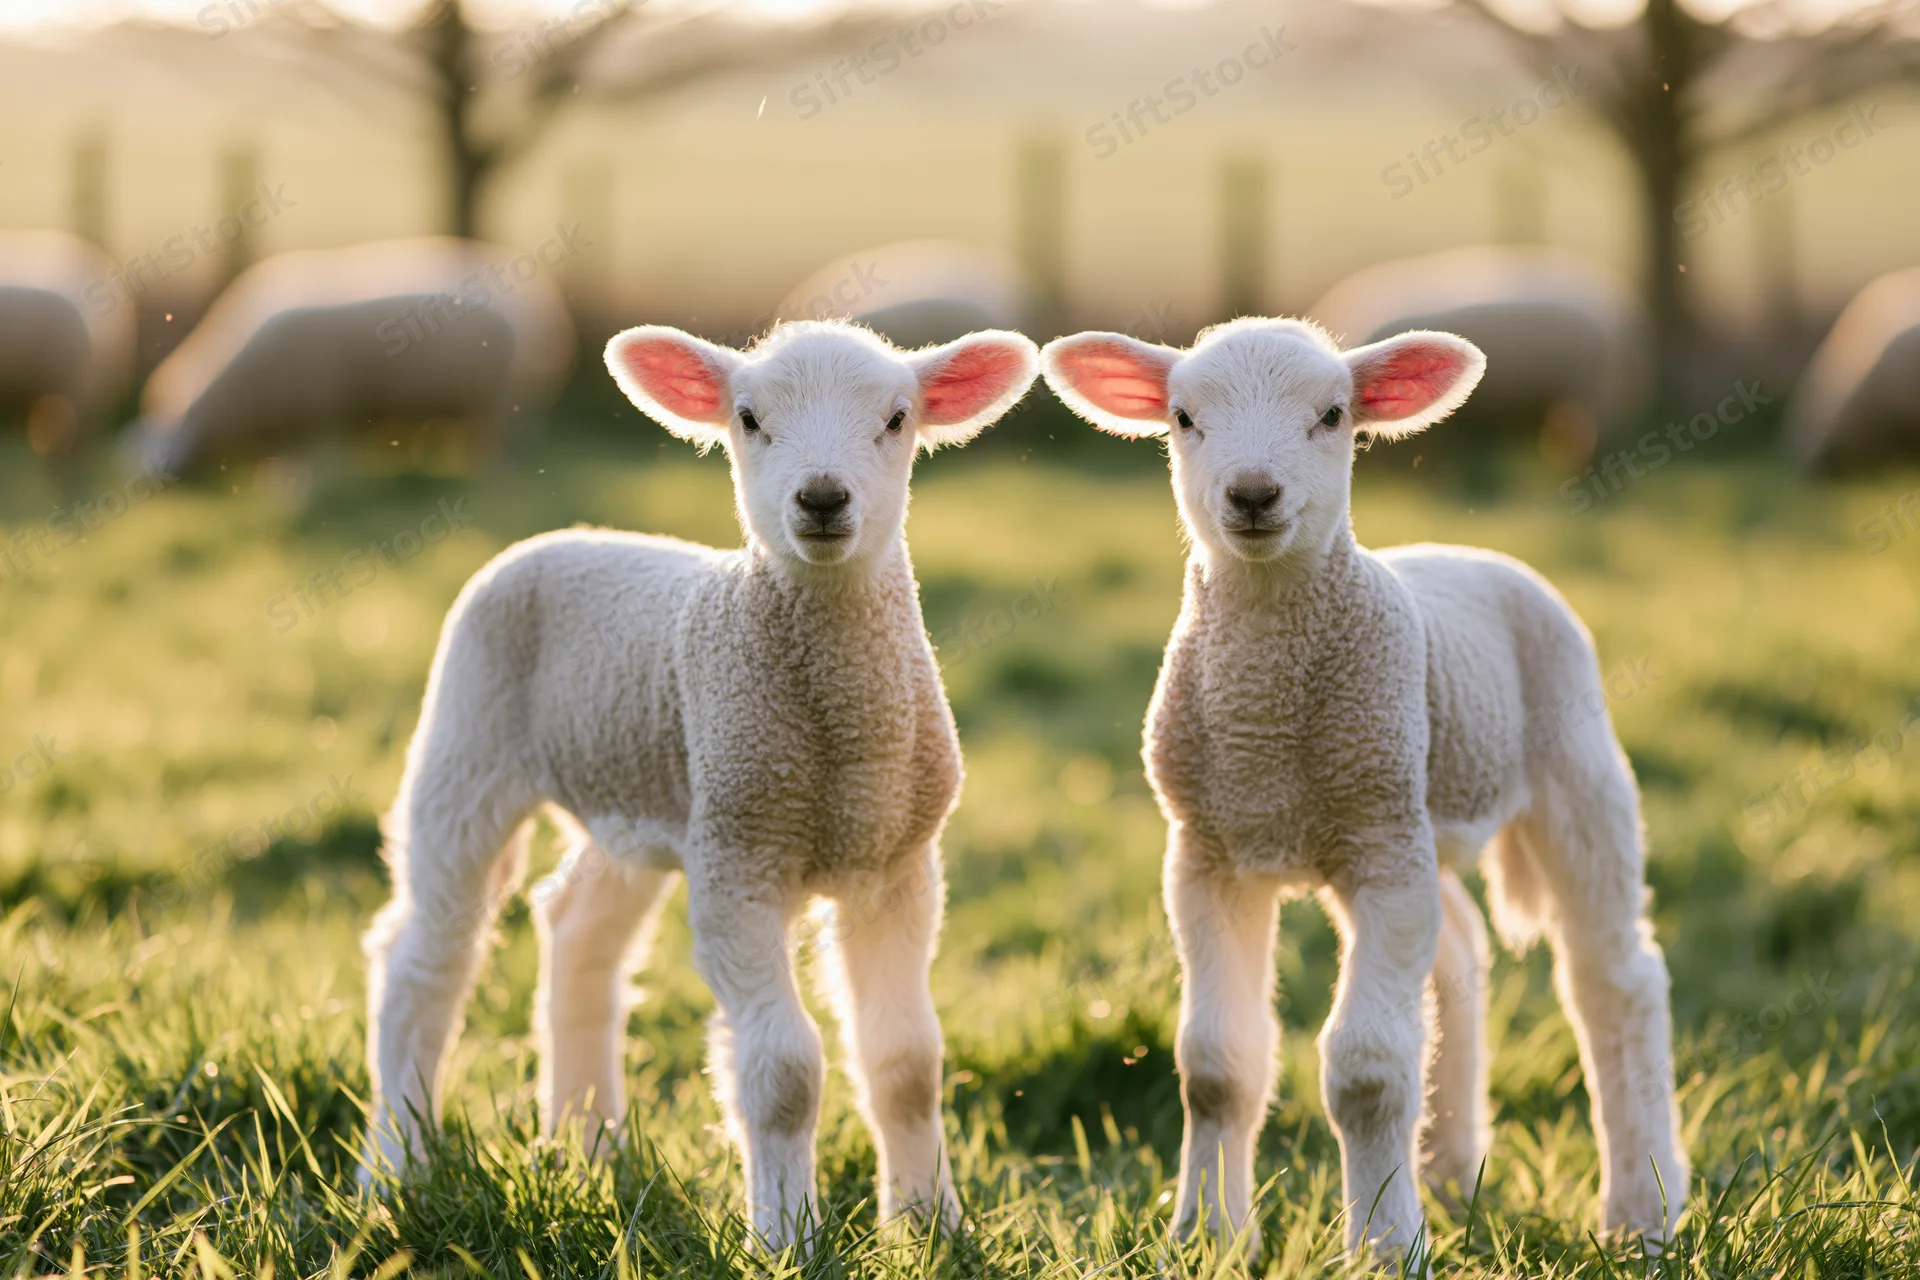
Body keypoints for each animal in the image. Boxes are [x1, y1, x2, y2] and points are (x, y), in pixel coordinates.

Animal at [130, 237, 576, 475]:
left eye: (164, 437)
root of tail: (549, 298)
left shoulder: (315, 408)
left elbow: (308, 458)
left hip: (505, 398)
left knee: (505, 444)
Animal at [359, 318, 1040, 1251]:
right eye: (748, 418)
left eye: (897, 418)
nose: (821, 498)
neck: (839, 740)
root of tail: (562, 533)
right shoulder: (739, 860)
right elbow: (785, 1071)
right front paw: (788, 1237)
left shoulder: (897, 866)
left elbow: (906, 1063)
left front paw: (932, 1226)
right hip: (467, 750)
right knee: (422, 961)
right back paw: (398, 1164)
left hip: (641, 799)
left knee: (576, 930)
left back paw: (585, 1144)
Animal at [1039, 318, 1686, 1259]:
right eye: (1184, 418)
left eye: (1333, 414)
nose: (1254, 493)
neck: (1267, 717)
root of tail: (1470, 553)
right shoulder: (1210, 855)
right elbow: (1216, 1066)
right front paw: (1207, 1236)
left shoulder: (1380, 848)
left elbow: (1368, 1072)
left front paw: (1382, 1245)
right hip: (1410, 820)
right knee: (1461, 953)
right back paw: (1450, 1173)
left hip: (1570, 772)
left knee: (1615, 981)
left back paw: (1644, 1209)